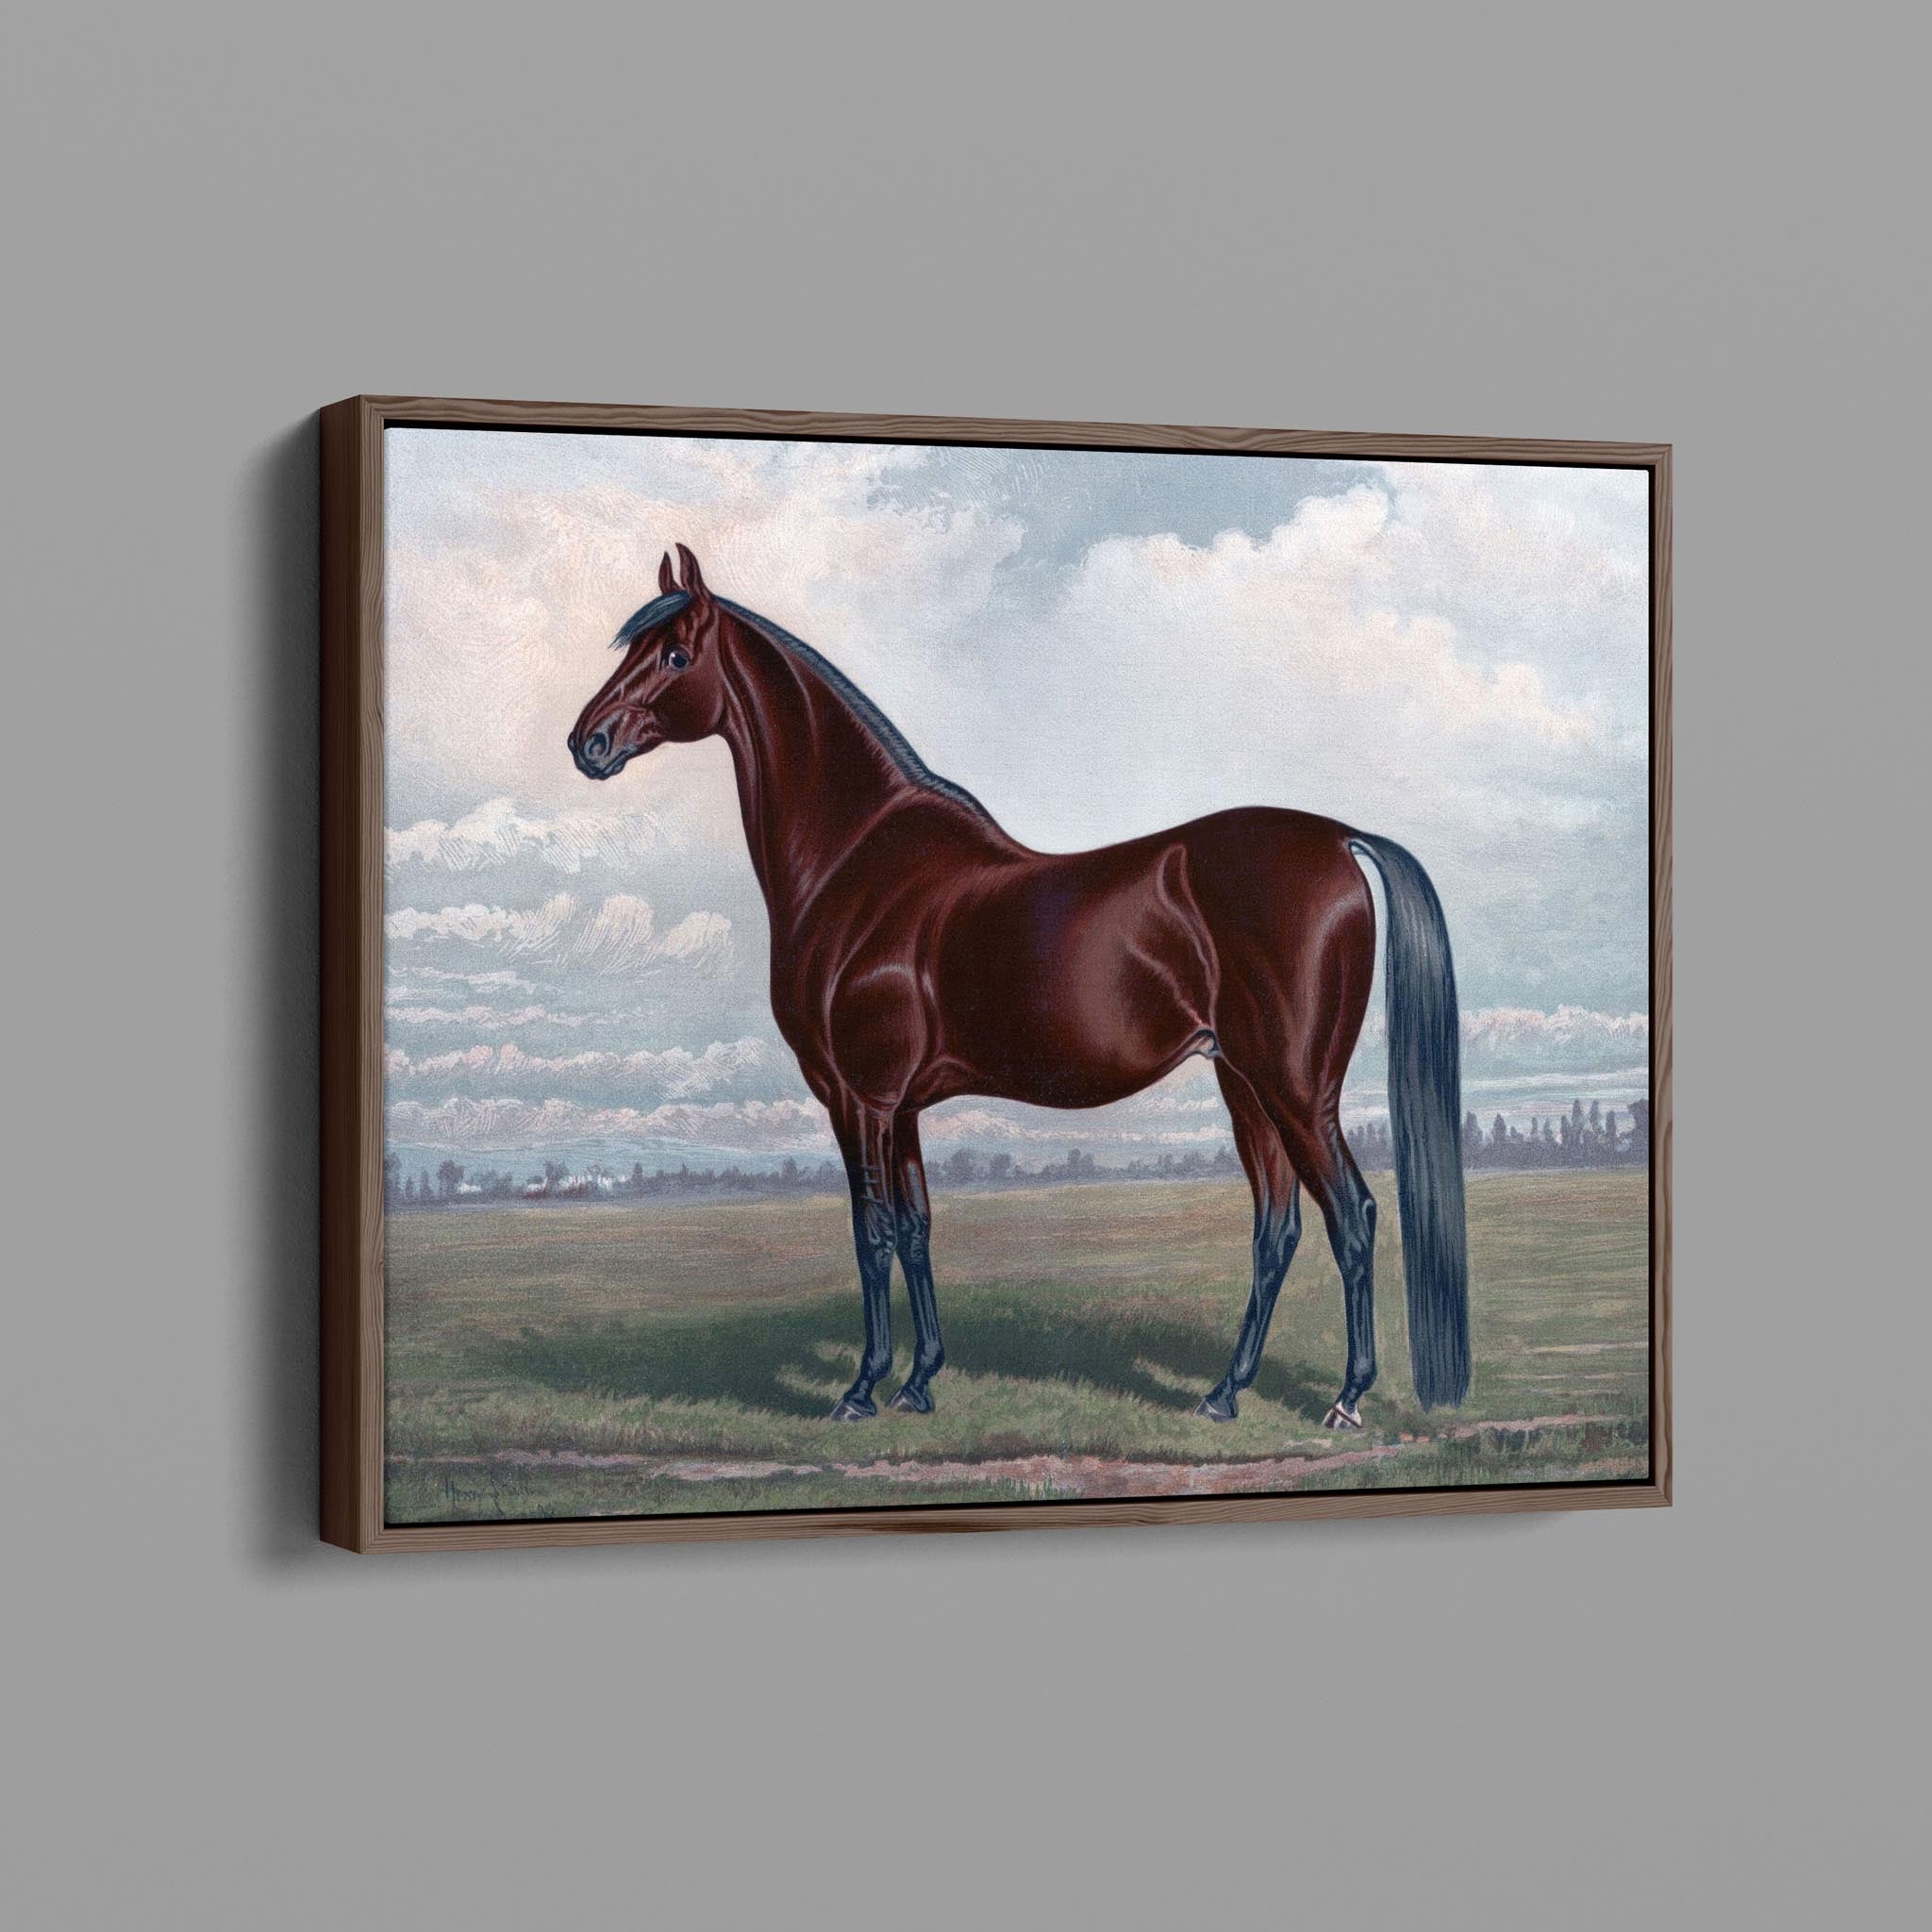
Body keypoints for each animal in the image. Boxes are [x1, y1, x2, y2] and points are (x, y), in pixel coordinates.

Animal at [569, 544, 1469, 1430]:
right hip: (1244, 1084)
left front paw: (862, 1388)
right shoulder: (902, 1107)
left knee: (1352, 1218)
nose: (588, 742)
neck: (856, 860)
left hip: (1296, 1089)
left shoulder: (859, 1099)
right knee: (1275, 1228)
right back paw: (1223, 1393)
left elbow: (872, 1233)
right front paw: (921, 1381)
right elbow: (918, 1228)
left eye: (675, 655)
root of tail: (1341, 840)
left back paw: (1346, 1398)